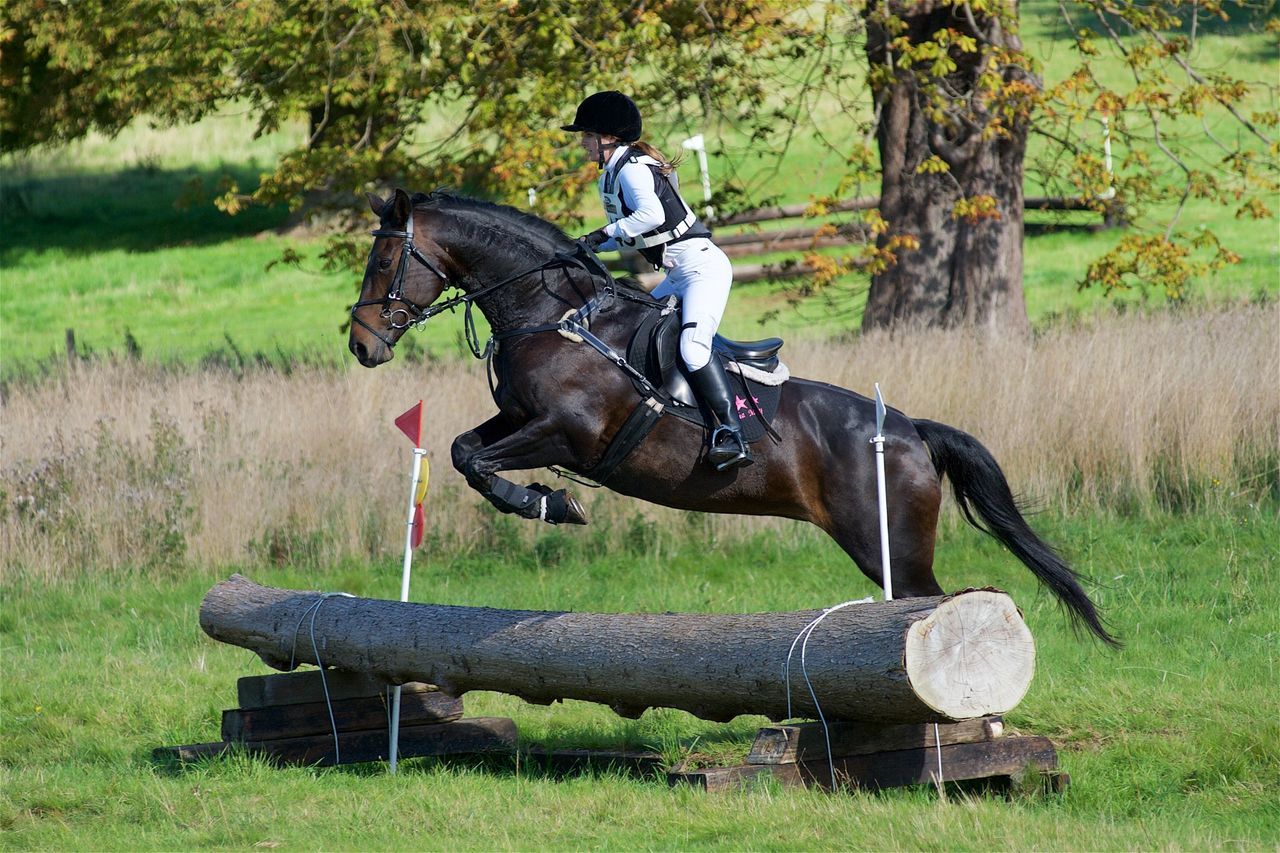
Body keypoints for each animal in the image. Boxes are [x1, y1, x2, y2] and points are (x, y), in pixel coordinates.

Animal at [350, 185, 1121, 645]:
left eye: (384, 259)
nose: (361, 344)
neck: (554, 314)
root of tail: (909, 432)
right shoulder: (517, 420)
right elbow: (462, 450)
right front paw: (543, 502)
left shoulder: (567, 433)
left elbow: (479, 459)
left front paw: (552, 504)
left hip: (889, 544)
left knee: (929, 603)